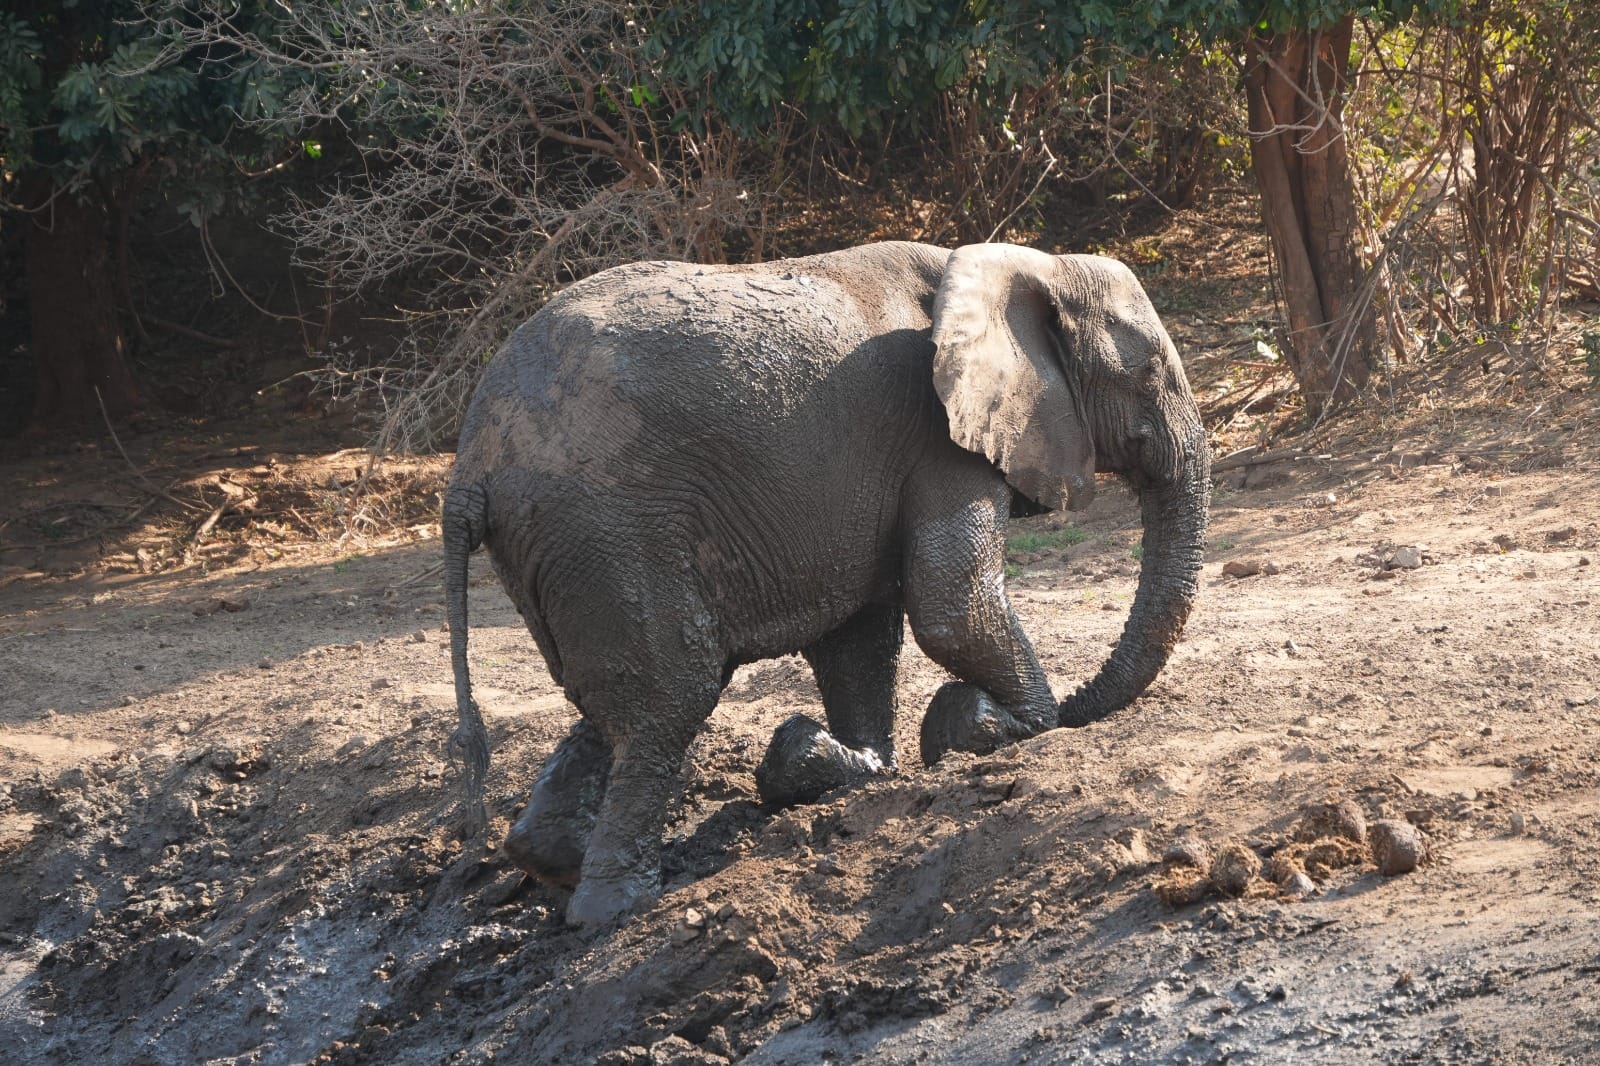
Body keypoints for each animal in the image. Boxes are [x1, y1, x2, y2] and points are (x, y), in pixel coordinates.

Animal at [442, 241, 1210, 927]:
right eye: (1146, 371)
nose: (1082, 705)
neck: (1023, 264)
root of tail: (469, 457)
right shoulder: (937, 438)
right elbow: (948, 603)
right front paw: (1001, 726)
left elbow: (860, 637)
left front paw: (848, 760)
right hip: (604, 525)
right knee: (673, 693)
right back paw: (616, 907)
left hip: (561, 546)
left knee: (620, 697)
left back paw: (554, 857)